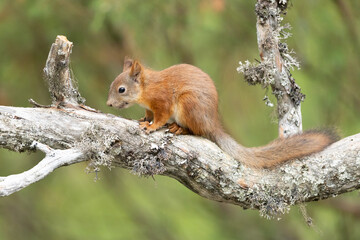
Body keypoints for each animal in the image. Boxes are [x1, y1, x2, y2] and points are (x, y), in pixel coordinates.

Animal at [107, 57, 338, 168]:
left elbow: (160, 117)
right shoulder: (149, 106)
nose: (108, 104)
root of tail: (213, 124)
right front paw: (143, 119)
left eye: (121, 89)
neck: (147, 88)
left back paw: (180, 129)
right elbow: (148, 114)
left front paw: (152, 126)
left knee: (197, 131)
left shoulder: (162, 102)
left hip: (188, 105)